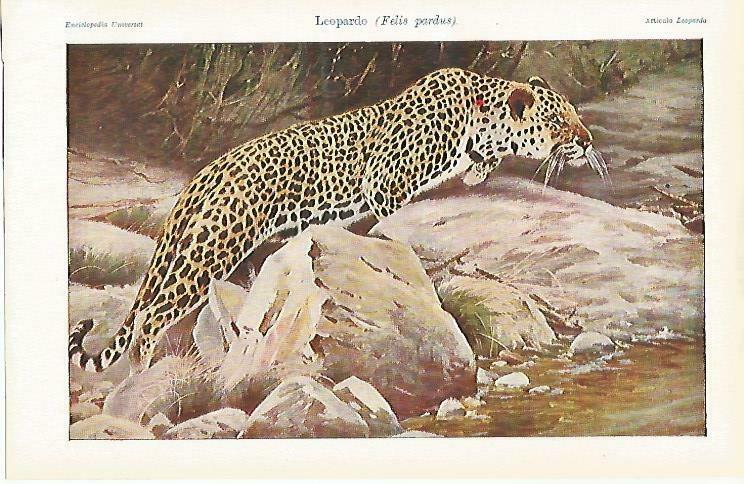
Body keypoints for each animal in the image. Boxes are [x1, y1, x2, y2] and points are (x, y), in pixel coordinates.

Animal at [69, 67, 607, 375]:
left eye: (575, 117)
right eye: (559, 123)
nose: (586, 142)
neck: (480, 119)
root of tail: (209, 171)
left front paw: (479, 171)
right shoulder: (385, 182)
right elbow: (391, 223)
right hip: (209, 251)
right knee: (148, 319)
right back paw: (140, 371)